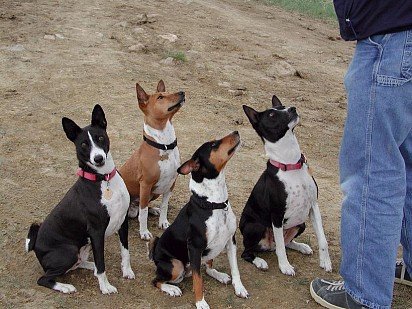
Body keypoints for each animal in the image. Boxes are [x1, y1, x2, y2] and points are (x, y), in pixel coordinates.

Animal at [25, 104, 134, 294]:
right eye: (83, 144)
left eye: (100, 138)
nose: (98, 158)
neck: (104, 180)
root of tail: (36, 244)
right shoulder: (96, 232)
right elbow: (102, 263)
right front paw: (105, 287)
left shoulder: (123, 221)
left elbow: (125, 251)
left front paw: (126, 271)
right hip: (68, 251)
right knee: (44, 278)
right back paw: (65, 286)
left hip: (82, 246)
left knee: (80, 262)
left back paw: (90, 267)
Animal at [118, 80, 184, 239]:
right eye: (160, 97)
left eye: (168, 92)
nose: (182, 92)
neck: (164, 144)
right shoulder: (145, 185)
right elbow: (143, 212)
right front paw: (144, 232)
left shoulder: (171, 183)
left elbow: (164, 205)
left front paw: (163, 222)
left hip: (155, 192)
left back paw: (154, 209)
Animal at [150, 131, 249, 308]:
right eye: (214, 145)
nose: (236, 132)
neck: (214, 204)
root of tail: (155, 255)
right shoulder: (195, 248)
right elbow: (198, 280)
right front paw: (200, 302)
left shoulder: (231, 240)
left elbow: (235, 269)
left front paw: (239, 288)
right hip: (176, 265)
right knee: (156, 280)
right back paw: (171, 289)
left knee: (208, 268)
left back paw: (219, 275)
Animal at [240, 95, 334, 274]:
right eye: (271, 115)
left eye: (282, 106)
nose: (293, 108)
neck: (290, 164)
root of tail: (268, 246)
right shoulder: (276, 215)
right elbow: (281, 249)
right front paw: (285, 266)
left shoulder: (313, 206)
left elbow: (323, 239)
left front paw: (325, 261)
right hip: (254, 226)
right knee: (249, 252)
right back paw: (259, 261)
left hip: (301, 223)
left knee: (285, 243)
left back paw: (302, 246)